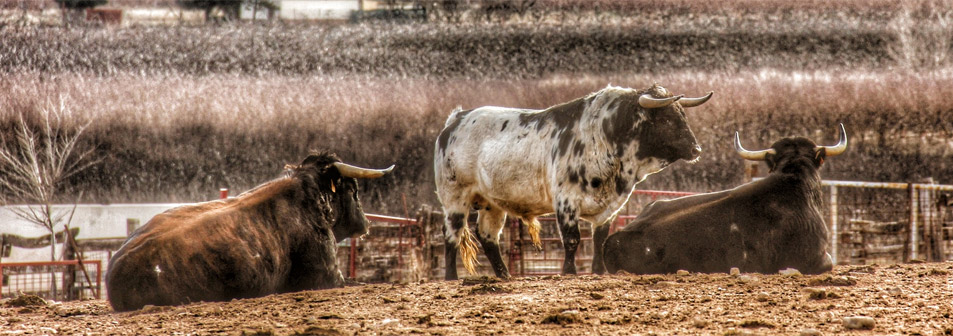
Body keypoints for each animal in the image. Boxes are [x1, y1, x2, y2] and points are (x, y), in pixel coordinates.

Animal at [436, 85, 712, 280]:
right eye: (666, 119)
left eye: (682, 116)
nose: (696, 149)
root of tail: (456, 120)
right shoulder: (566, 201)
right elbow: (572, 240)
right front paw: (569, 272)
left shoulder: (609, 208)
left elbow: (599, 239)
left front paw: (599, 271)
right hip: (454, 198)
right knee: (451, 235)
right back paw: (451, 277)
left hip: (492, 204)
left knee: (488, 236)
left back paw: (504, 275)